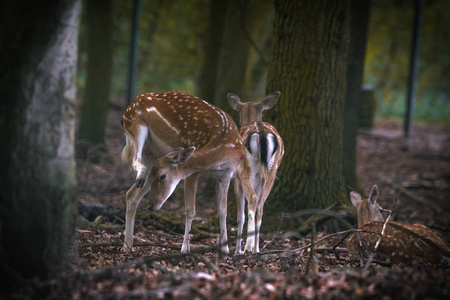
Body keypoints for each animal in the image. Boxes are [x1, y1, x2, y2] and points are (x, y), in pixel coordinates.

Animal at [120, 91, 256, 255]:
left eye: (162, 176)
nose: (152, 205)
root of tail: (130, 105)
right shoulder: (192, 173)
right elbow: (190, 210)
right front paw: (185, 249)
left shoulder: (225, 174)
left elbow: (222, 211)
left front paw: (225, 250)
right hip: (136, 124)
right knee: (134, 159)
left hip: (152, 154)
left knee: (131, 195)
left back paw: (128, 246)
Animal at [227, 91, 284, 253]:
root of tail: (261, 131)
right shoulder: (259, 178)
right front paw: (254, 248)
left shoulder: (236, 178)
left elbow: (240, 216)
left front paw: (237, 250)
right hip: (271, 171)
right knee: (260, 206)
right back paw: (256, 249)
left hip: (246, 169)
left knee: (252, 201)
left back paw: (247, 248)